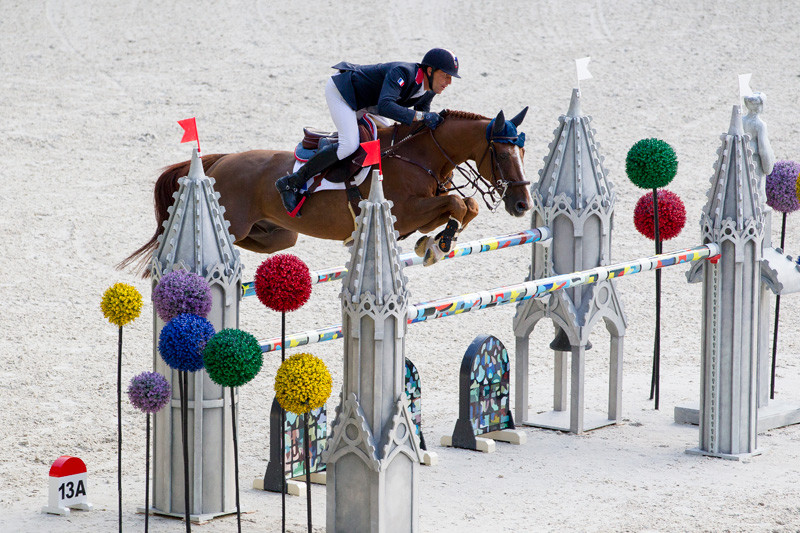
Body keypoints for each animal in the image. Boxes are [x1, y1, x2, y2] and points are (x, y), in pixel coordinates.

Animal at [120, 107, 532, 274]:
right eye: (501, 153)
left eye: (523, 151)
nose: (522, 204)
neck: (419, 155)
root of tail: (219, 162)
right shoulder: (404, 212)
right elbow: (459, 202)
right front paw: (439, 243)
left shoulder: (420, 212)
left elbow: (465, 205)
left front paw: (434, 243)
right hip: (236, 221)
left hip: (277, 235)